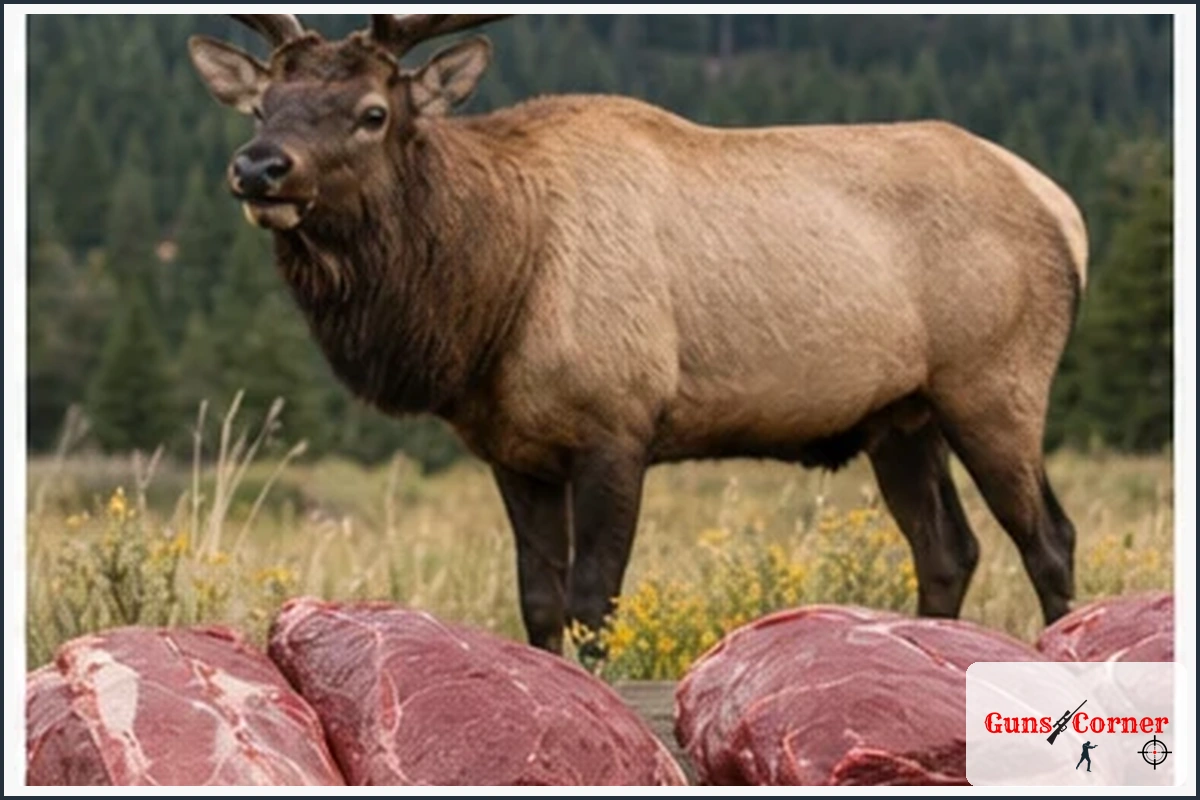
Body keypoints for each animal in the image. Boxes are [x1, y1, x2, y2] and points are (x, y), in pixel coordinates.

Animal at [189, 14, 1088, 658]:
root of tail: (1064, 211)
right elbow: (539, 603)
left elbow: (595, 607)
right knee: (948, 550)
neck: (493, 295)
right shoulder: (514, 450)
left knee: (1049, 537)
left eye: (373, 113)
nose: (260, 167)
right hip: (900, 417)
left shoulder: (617, 425)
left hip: (995, 386)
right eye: (263, 105)